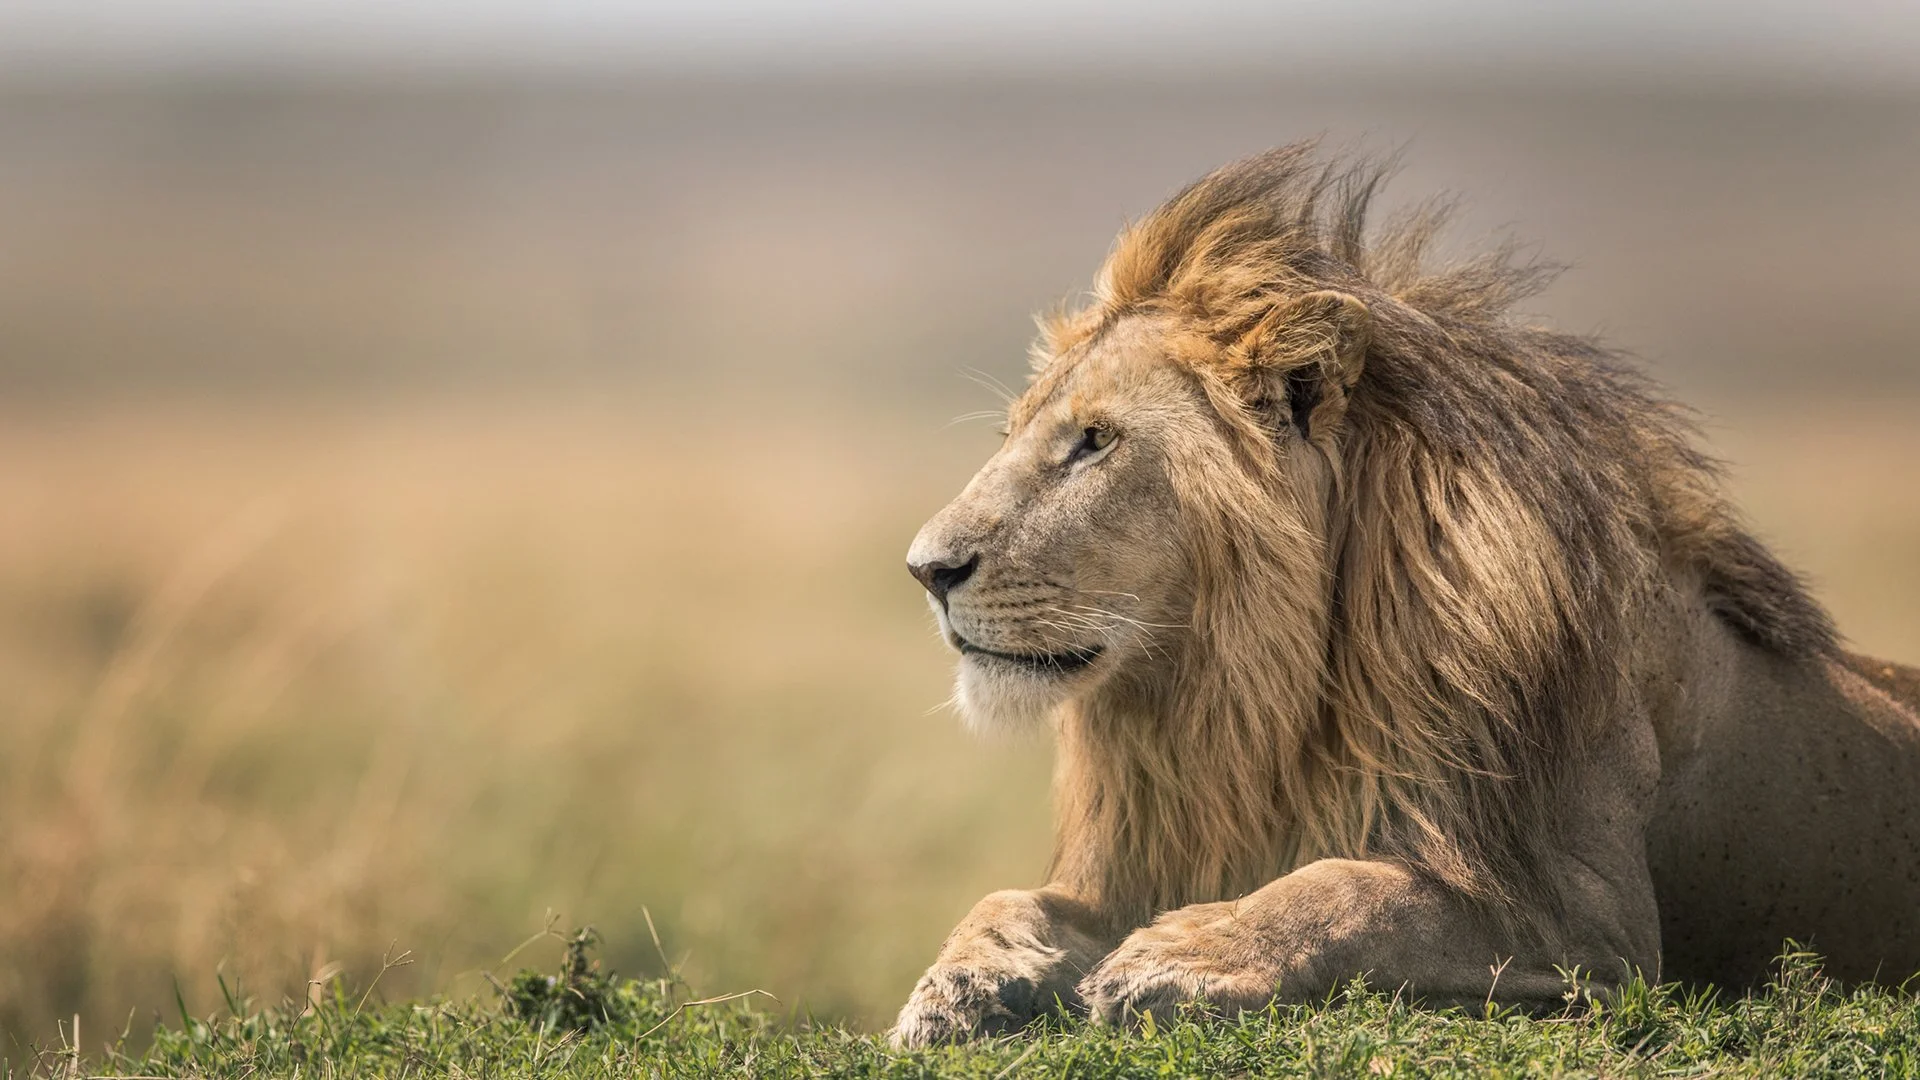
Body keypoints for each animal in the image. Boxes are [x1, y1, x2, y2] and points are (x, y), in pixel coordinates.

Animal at [890, 141, 1920, 1046]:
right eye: (1019, 433)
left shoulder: (1590, 922)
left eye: (1096, 442)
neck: (1247, 697)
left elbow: (1354, 888)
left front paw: (1181, 954)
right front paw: (958, 985)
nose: (925, 570)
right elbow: (1008, 896)